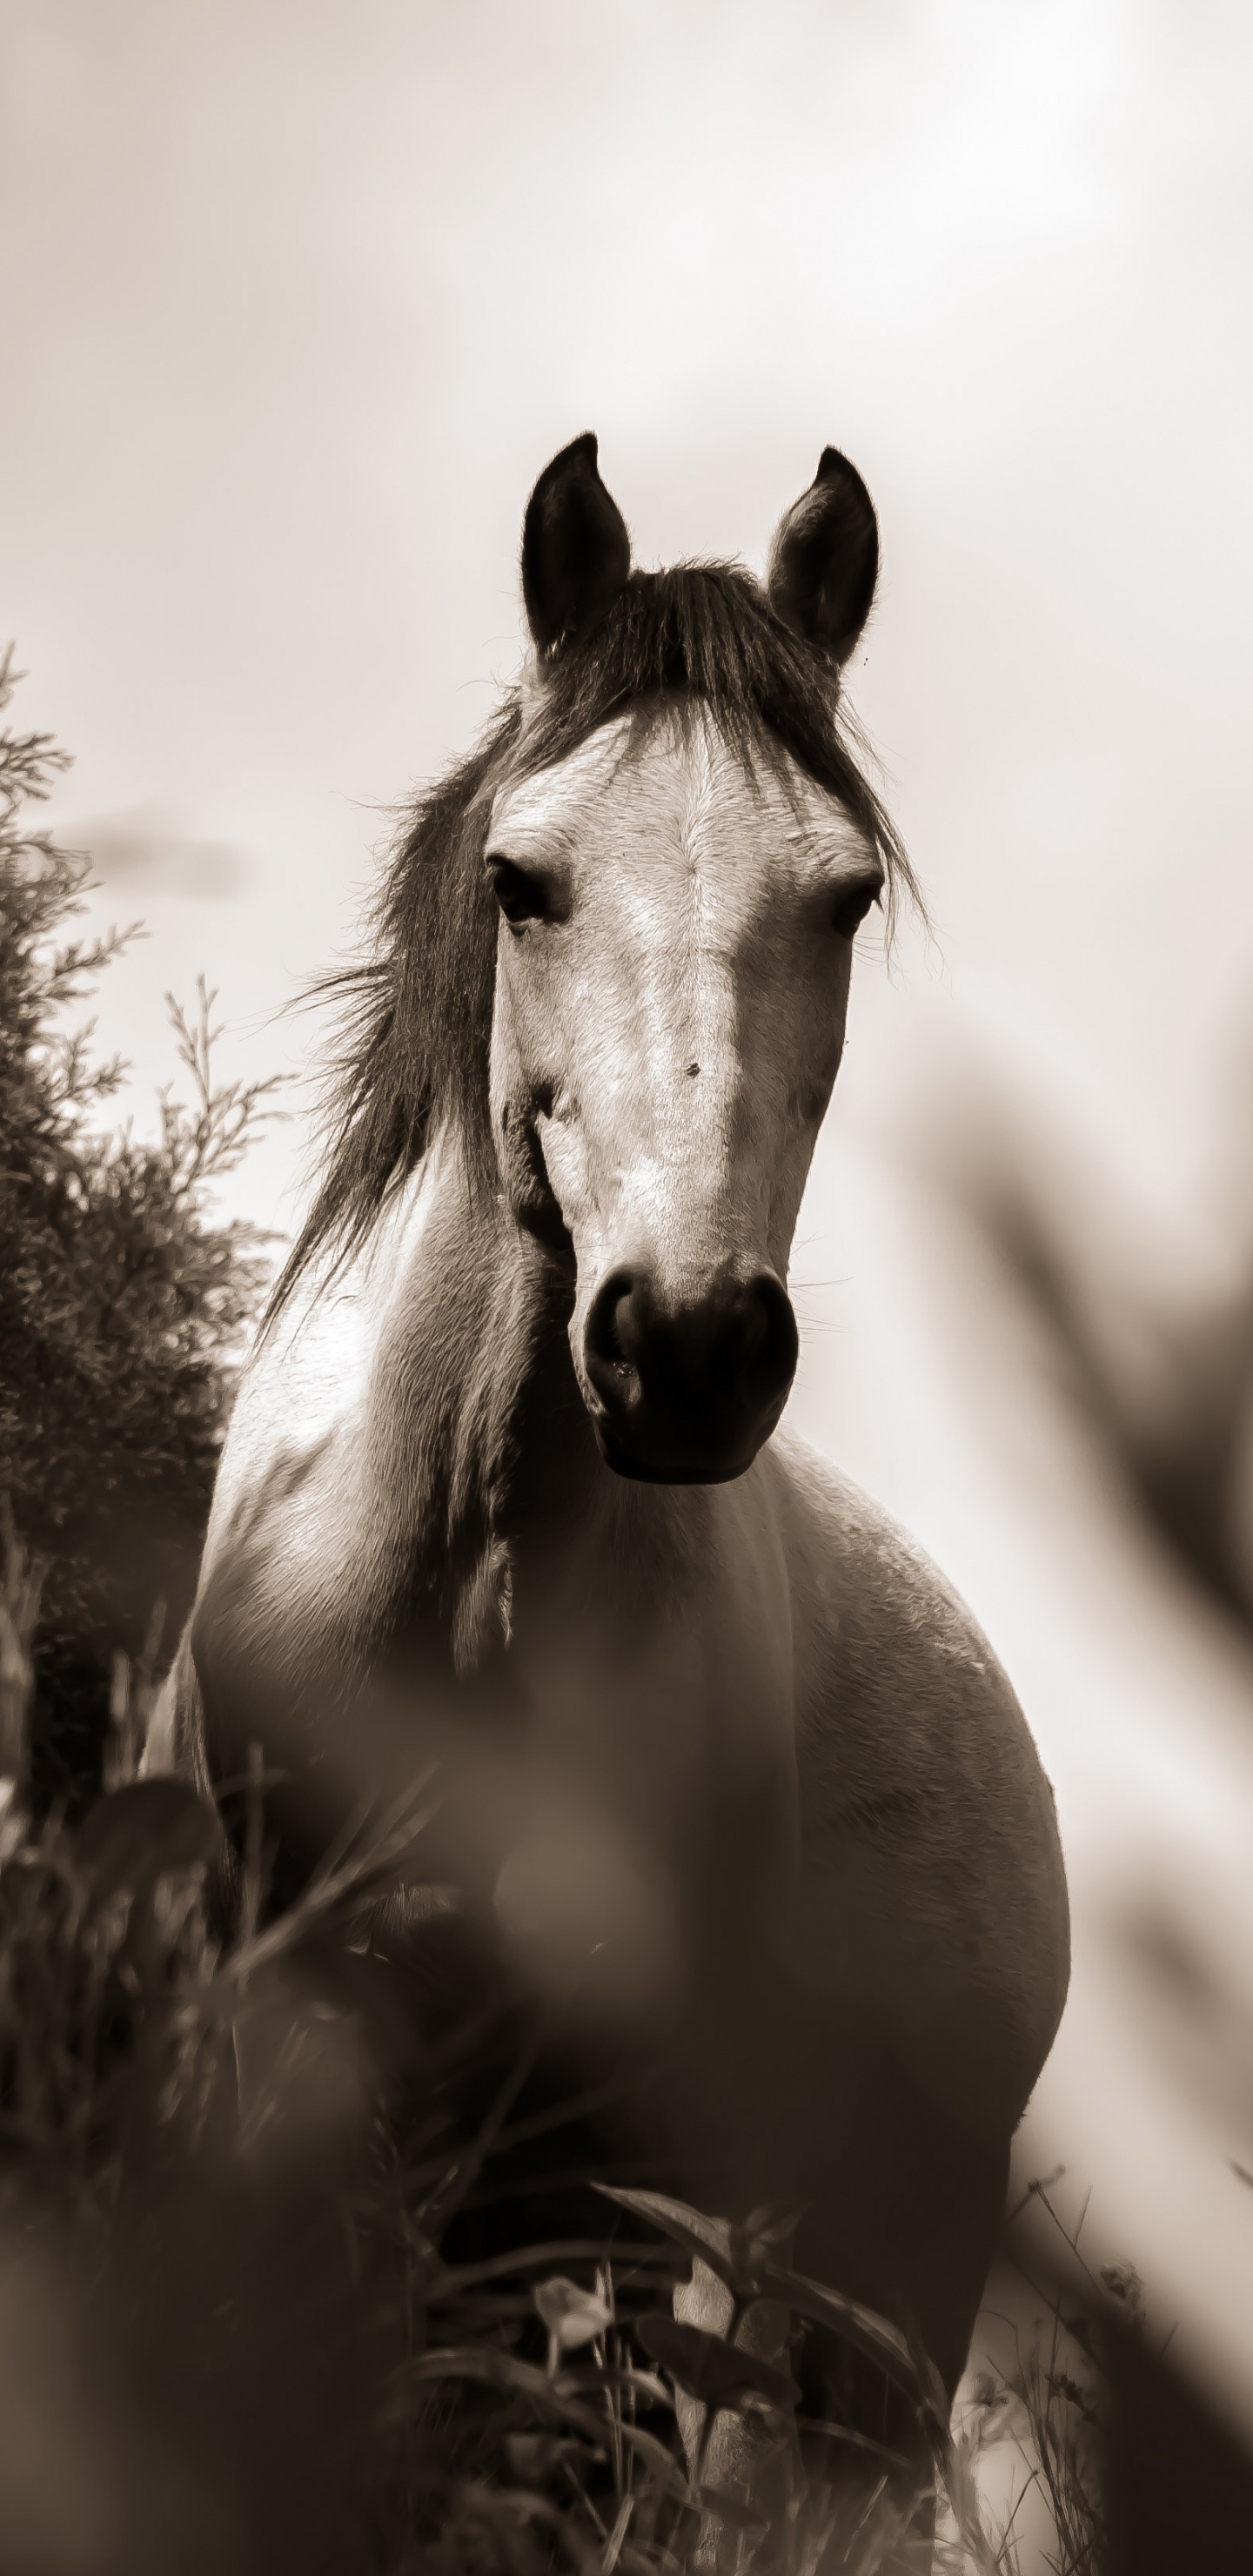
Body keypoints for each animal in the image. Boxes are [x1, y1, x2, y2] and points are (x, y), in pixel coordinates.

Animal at [146, 434, 1070, 2532]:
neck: (462, 1573)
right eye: (524, 881)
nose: (691, 1343)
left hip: (866, 2279)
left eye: (844, 896)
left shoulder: (584, 2158)